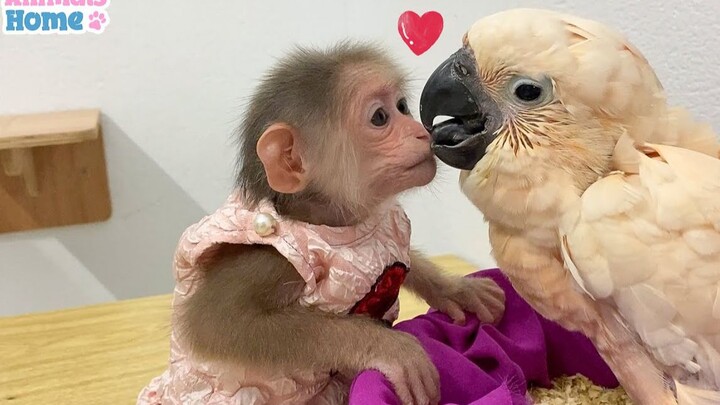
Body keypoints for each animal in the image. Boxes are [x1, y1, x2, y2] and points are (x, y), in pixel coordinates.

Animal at [136, 41, 506, 405]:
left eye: (403, 107)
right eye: (380, 117)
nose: (420, 133)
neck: (333, 226)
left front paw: (457, 290)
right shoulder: (268, 260)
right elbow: (217, 322)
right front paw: (389, 348)